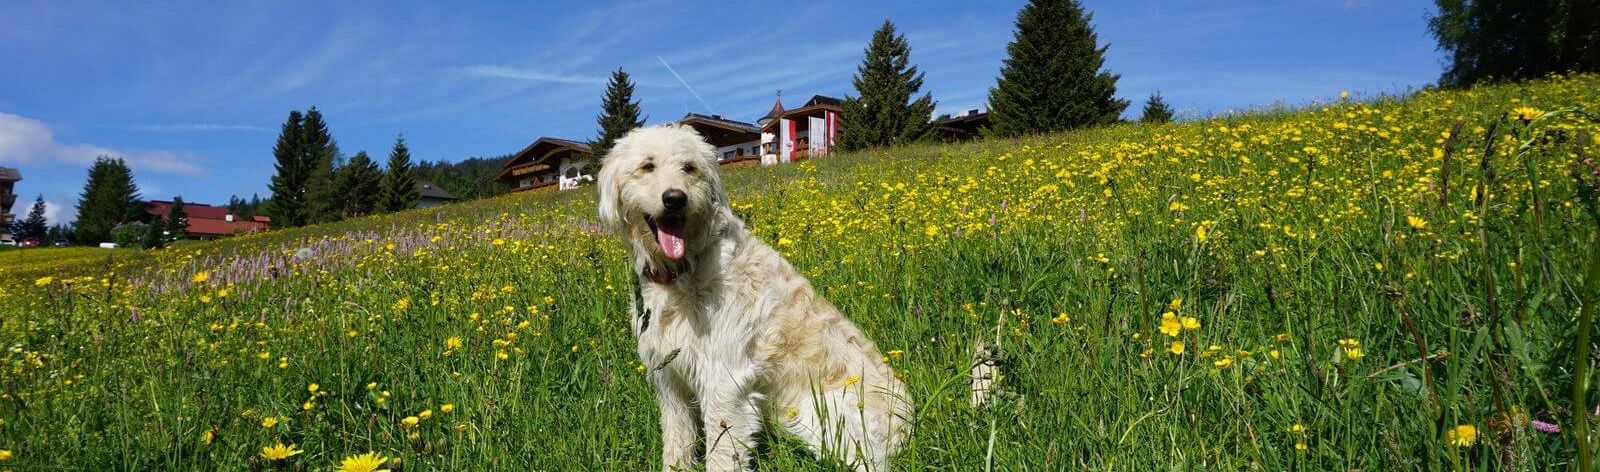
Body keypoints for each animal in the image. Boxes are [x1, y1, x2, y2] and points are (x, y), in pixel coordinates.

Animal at [598, 125, 915, 472]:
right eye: (647, 166)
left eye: (689, 168)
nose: (675, 199)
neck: (685, 268)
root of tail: (908, 421)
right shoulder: (670, 380)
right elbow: (677, 443)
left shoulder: (724, 382)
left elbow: (721, 454)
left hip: (821, 415)